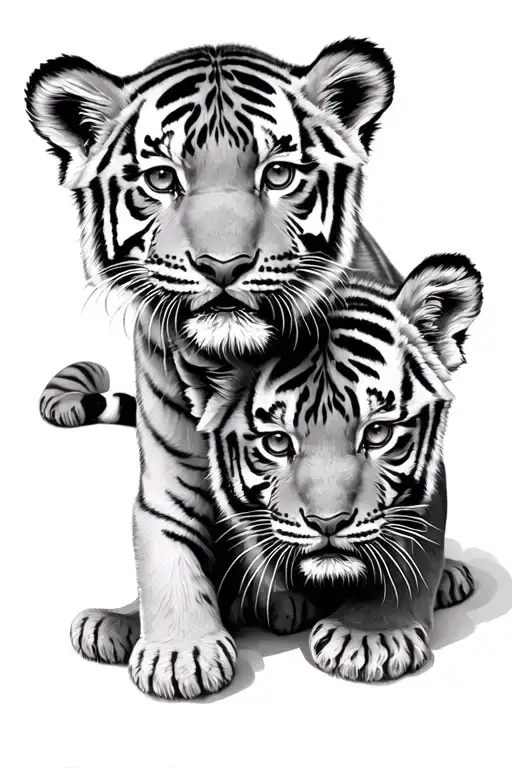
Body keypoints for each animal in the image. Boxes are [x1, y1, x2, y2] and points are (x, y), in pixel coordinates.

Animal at [39, 253, 482, 682]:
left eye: (377, 433)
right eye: (277, 442)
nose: (328, 524)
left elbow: (413, 550)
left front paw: (371, 635)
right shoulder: (168, 480)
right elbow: (165, 549)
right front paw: (179, 653)